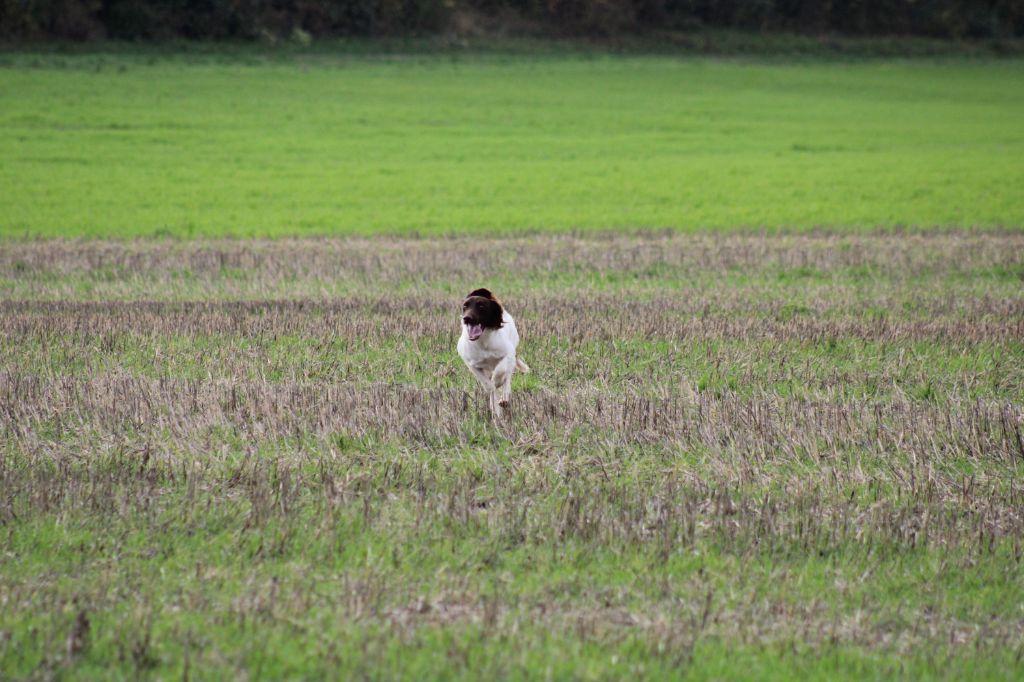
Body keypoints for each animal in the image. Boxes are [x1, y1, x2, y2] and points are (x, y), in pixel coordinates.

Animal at [460, 284, 532, 413]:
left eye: (481, 306)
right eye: (465, 306)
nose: (466, 318)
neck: (483, 342)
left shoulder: (508, 353)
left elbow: (501, 371)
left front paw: (498, 382)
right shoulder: (471, 363)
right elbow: (488, 385)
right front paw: (495, 408)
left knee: (507, 378)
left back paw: (504, 398)